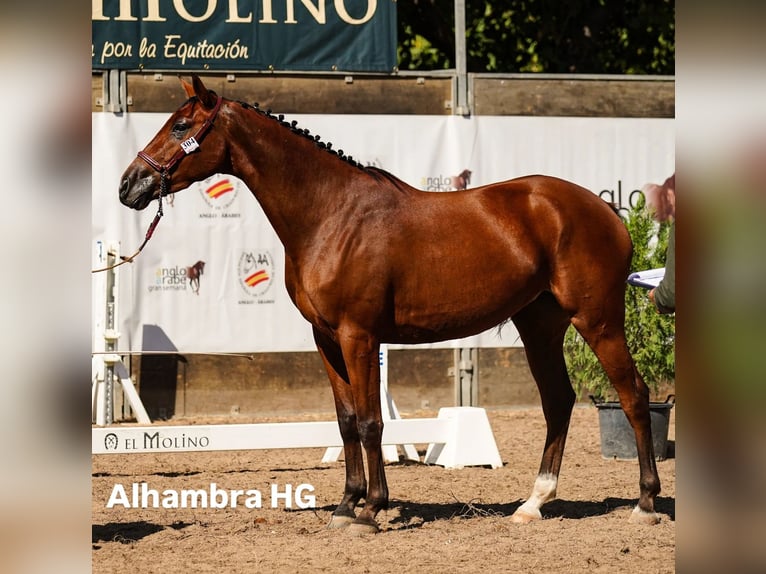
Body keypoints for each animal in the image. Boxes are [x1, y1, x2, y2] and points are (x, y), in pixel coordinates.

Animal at [118, 75, 662, 534]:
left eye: (181, 126)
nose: (129, 185)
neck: (330, 213)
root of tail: (606, 211)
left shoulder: (359, 335)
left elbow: (370, 421)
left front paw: (372, 509)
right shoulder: (326, 339)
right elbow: (345, 423)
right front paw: (346, 505)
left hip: (599, 320)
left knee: (634, 395)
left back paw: (645, 502)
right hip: (540, 326)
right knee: (558, 401)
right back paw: (533, 503)